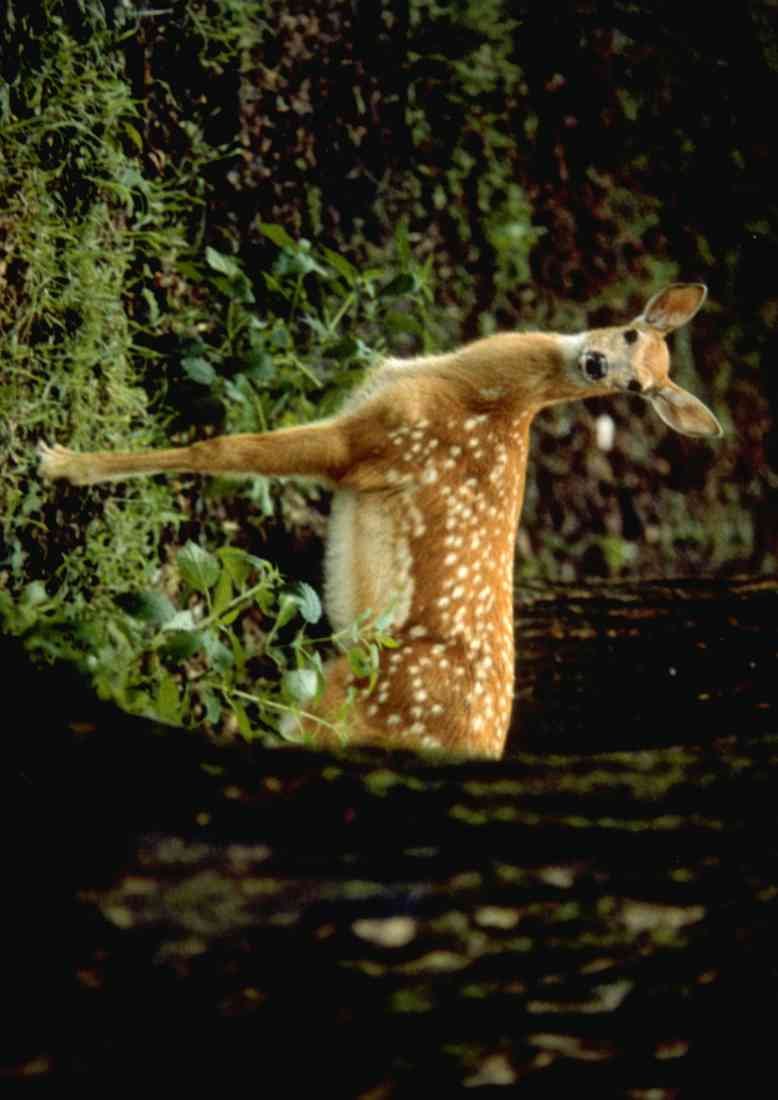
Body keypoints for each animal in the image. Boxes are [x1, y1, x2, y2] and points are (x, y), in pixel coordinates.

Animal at [39, 283, 722, 759]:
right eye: (632, 335)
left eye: (640, 391)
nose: (600, 368)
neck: (477, 393)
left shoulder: (373, 445)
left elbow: (225, 450)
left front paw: (65, 462)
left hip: (346, 699)